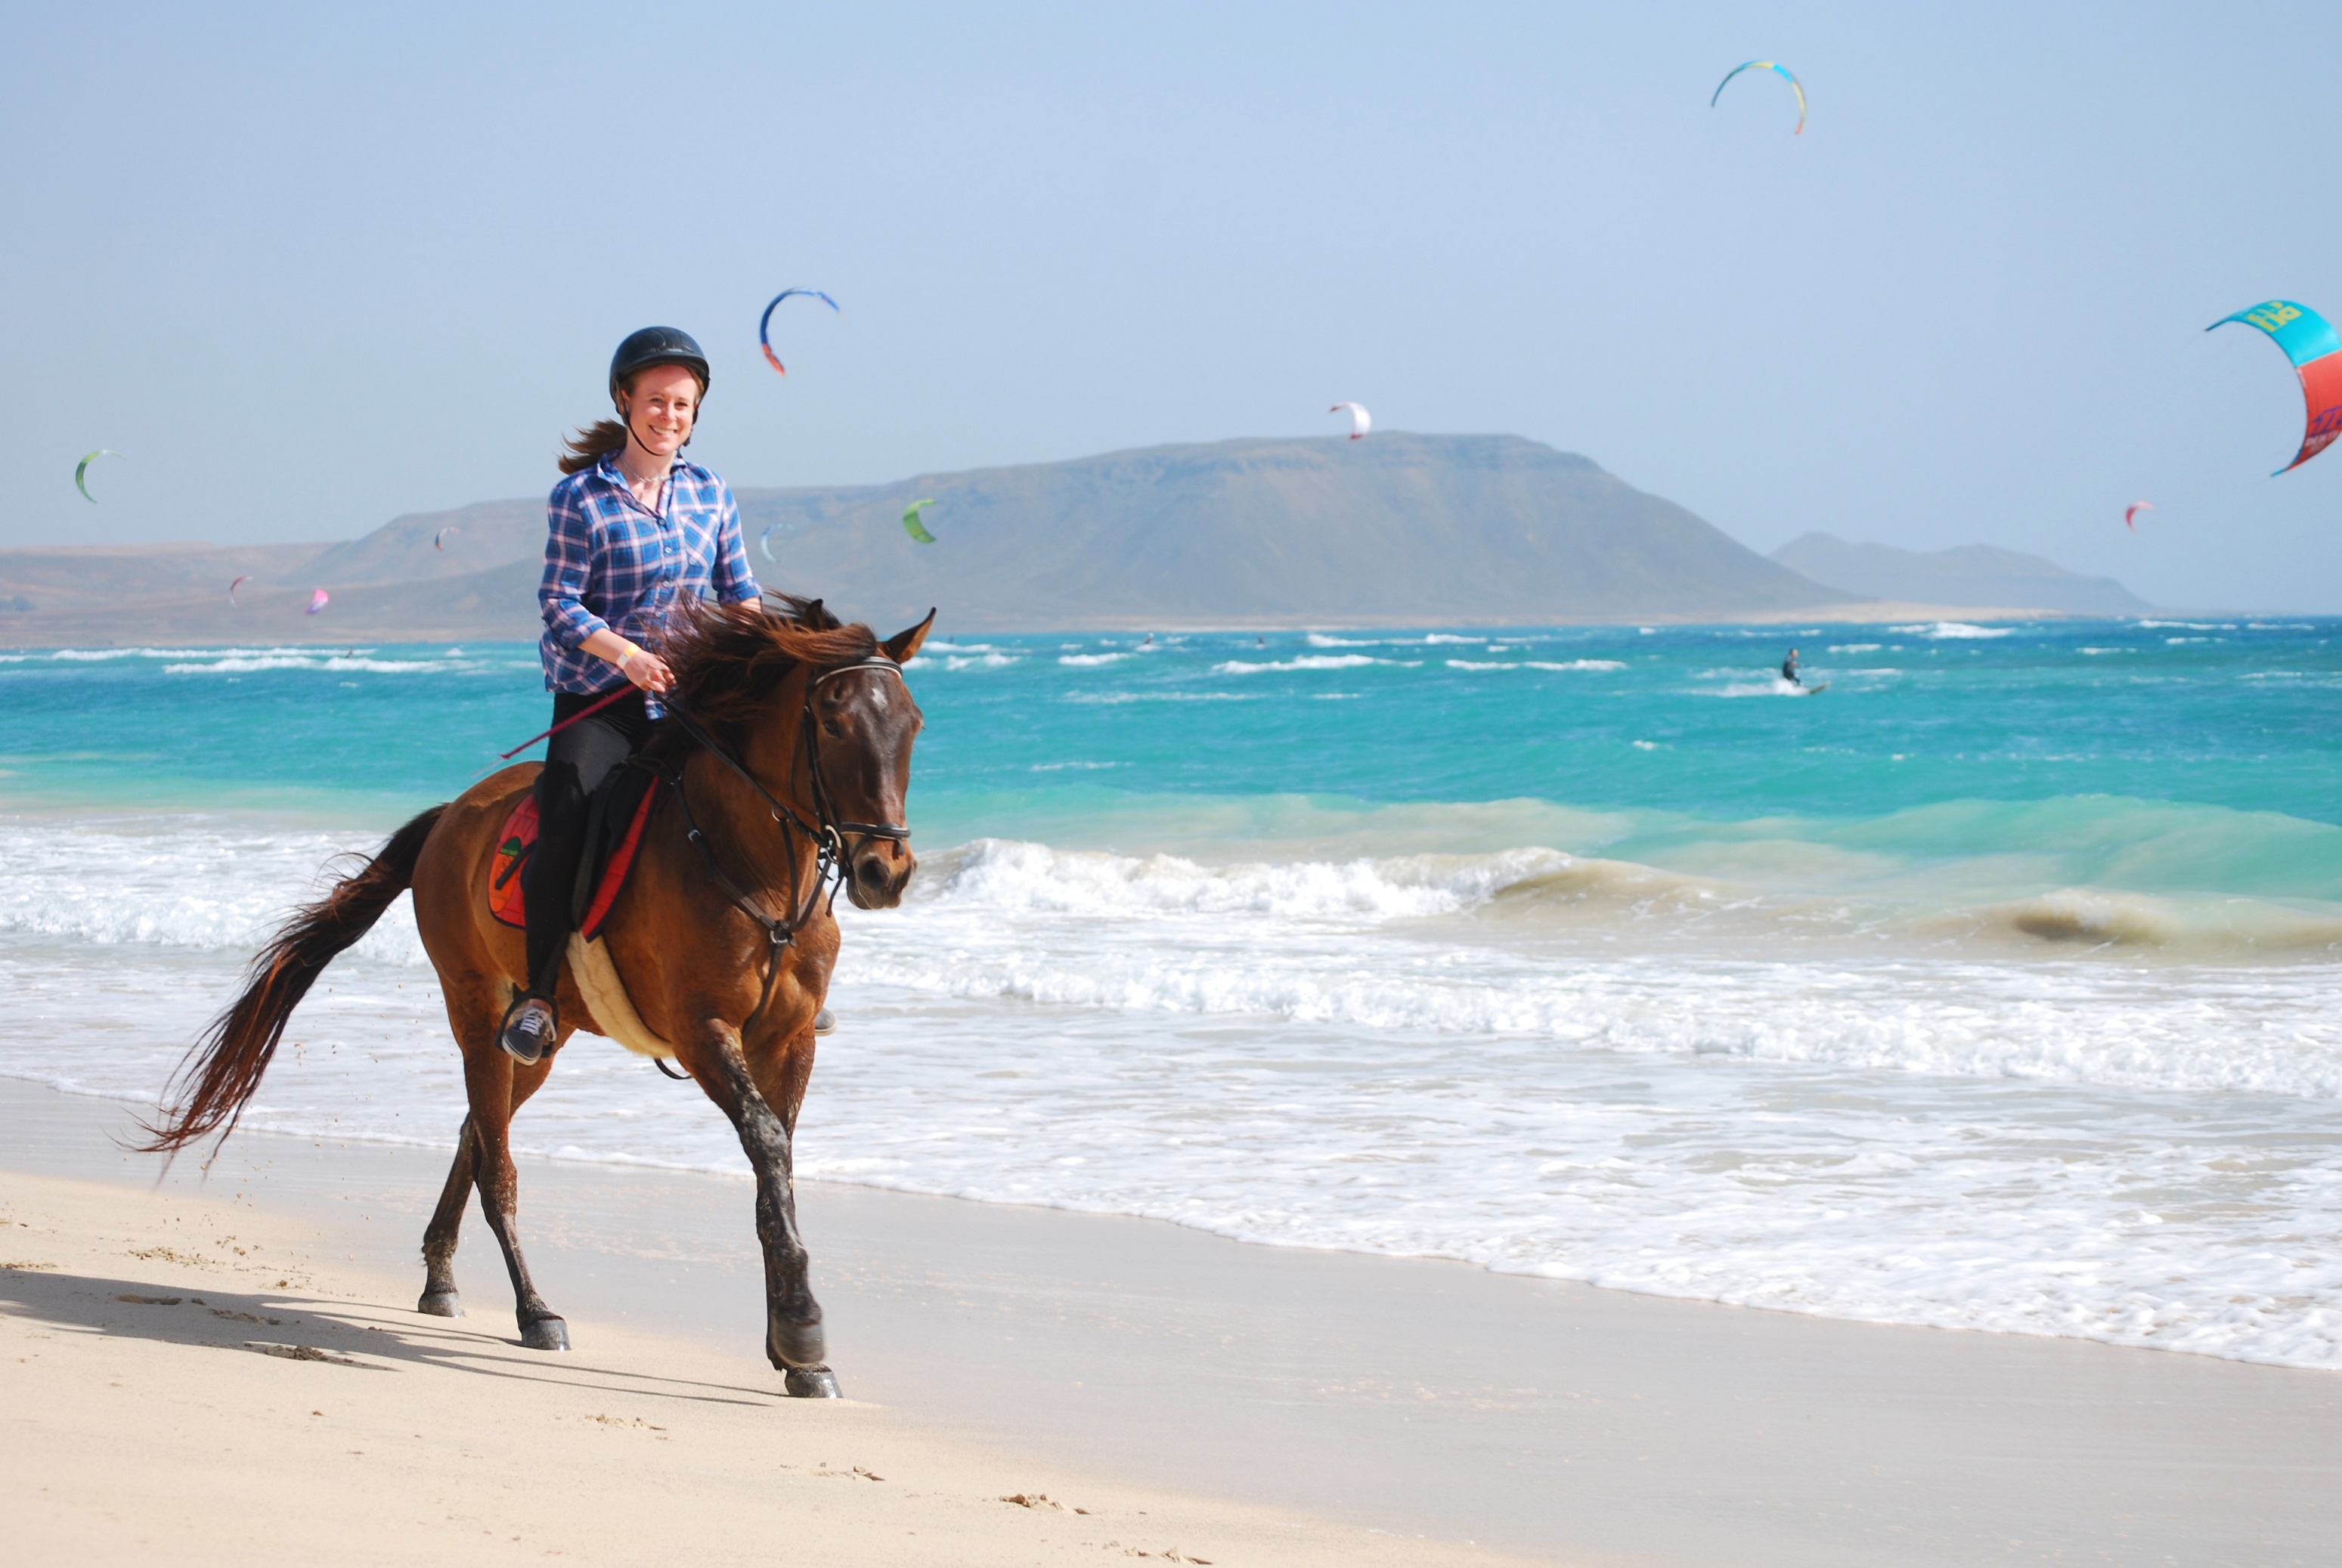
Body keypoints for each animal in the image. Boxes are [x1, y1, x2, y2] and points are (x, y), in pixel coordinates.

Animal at [140, 596, 935, 1399]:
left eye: (914, 722)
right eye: (832, 723)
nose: (885, 872)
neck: (757, 869)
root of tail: (452, 814)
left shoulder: (789, 1039)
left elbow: (781, 1168)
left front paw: (794, 1352)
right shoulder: (703, 1031)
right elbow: (769, 1145)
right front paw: (802, 1327)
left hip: (544, 1035)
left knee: (478, 1129)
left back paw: (440, 1279)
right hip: (473, 1004)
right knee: (498, 1164)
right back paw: (534, 1312)